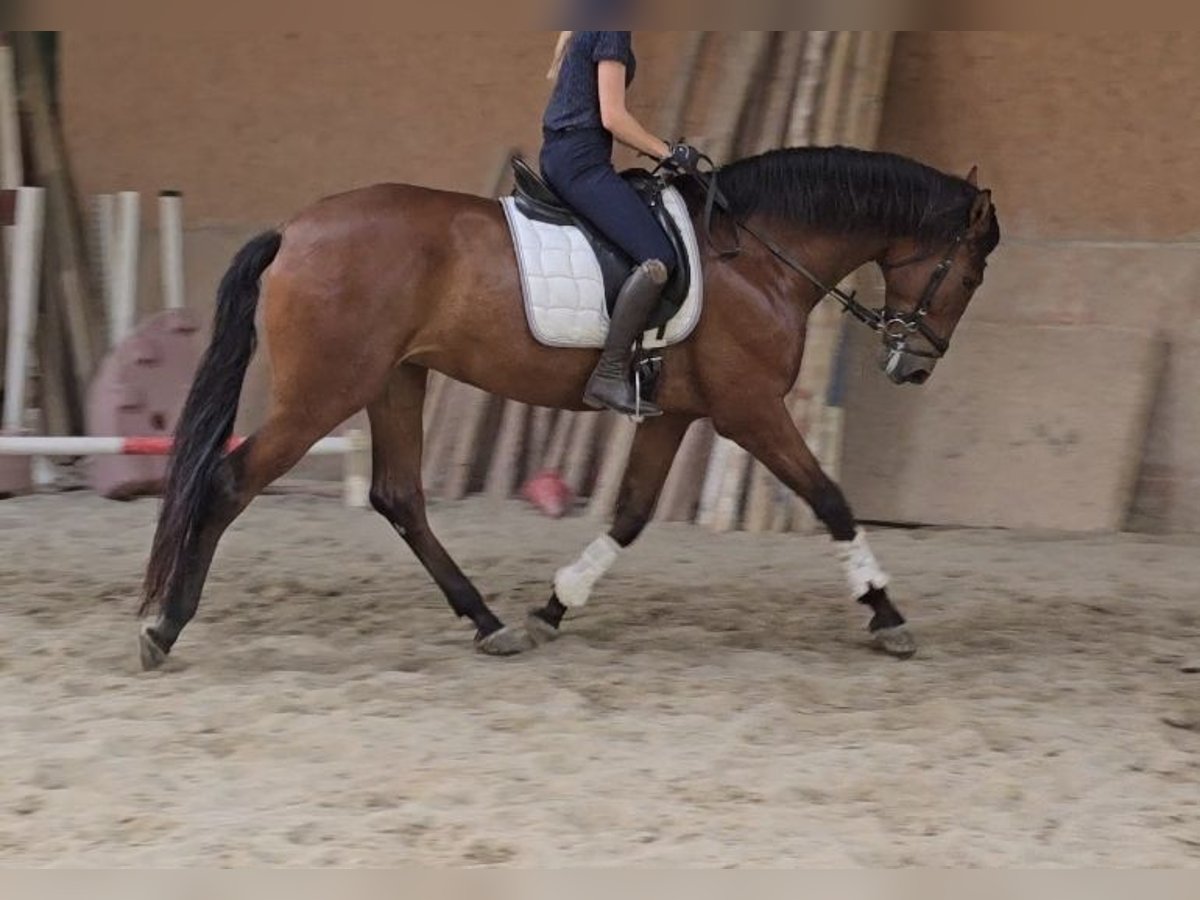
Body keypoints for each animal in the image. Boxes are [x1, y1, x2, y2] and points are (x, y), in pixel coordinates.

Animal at [136, 148, 998, 672]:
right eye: (969, 273)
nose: (914, 365)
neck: (758, 256)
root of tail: (293, 229)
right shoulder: (750, 411)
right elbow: (830, 500)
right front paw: (886, 613)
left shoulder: (676, 416)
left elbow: (631, 515)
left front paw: (553, 608)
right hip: (326, 392)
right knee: (229, 483)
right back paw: (165, 627)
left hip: (393, 382)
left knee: (399, 497)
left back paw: (490, 624)